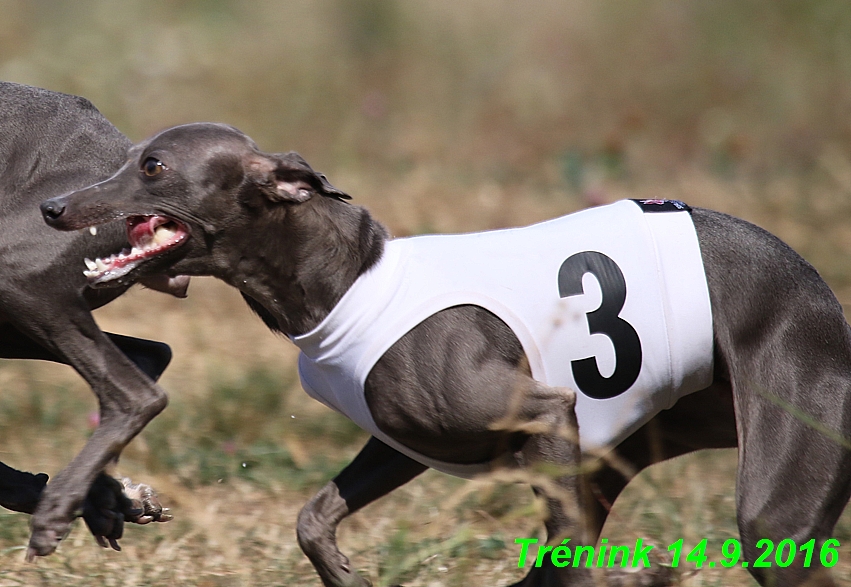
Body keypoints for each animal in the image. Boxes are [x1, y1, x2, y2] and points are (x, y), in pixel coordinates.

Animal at [41, 121, 851, 584]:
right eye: (131, 159)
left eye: (151, 167)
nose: (53, 207)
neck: (352, 276)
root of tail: (821, 294)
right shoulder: (403, 442)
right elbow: (313, 519)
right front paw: (347, 573)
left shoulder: (543, 411)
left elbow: (565, 552)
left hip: (771, 504)